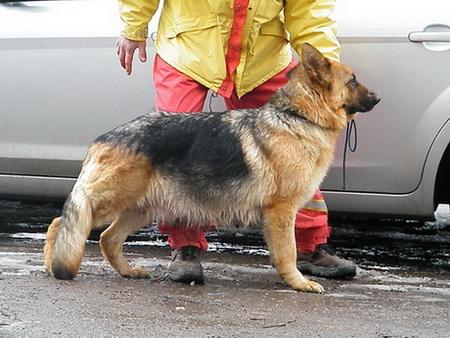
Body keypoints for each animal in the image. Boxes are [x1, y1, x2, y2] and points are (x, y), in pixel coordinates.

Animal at [44, 44, 378, 294]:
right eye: (352, 80)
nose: (378, 97)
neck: (298, 116)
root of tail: (105, 137)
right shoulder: (281, 211)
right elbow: (288, 253)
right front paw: (299, 283)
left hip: (139, 207)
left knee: (107, 238)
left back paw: (128, 270)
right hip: (111, 200)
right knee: (65, 220)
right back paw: (52, 263)